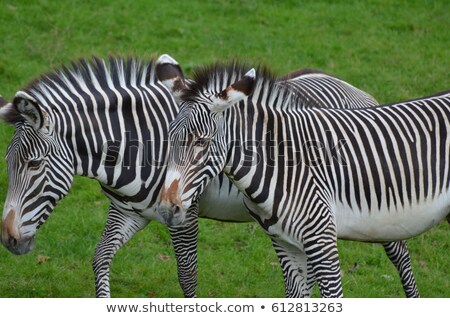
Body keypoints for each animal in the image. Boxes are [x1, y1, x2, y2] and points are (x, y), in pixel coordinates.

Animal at [0, 55, 418, 298]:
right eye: (8, 163)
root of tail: (354, 89)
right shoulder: (129, 212)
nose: (9, 240)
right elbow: (100, 259)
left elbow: (187, 275)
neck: (136, 144)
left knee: (400, 254)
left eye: (33, 165)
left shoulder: (183, 213)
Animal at [156, 60, 450, 298]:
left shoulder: (322, 239)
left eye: (201, 142)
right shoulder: (286, 244)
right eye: (168, 136)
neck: (285, 163)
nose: (166, 210)